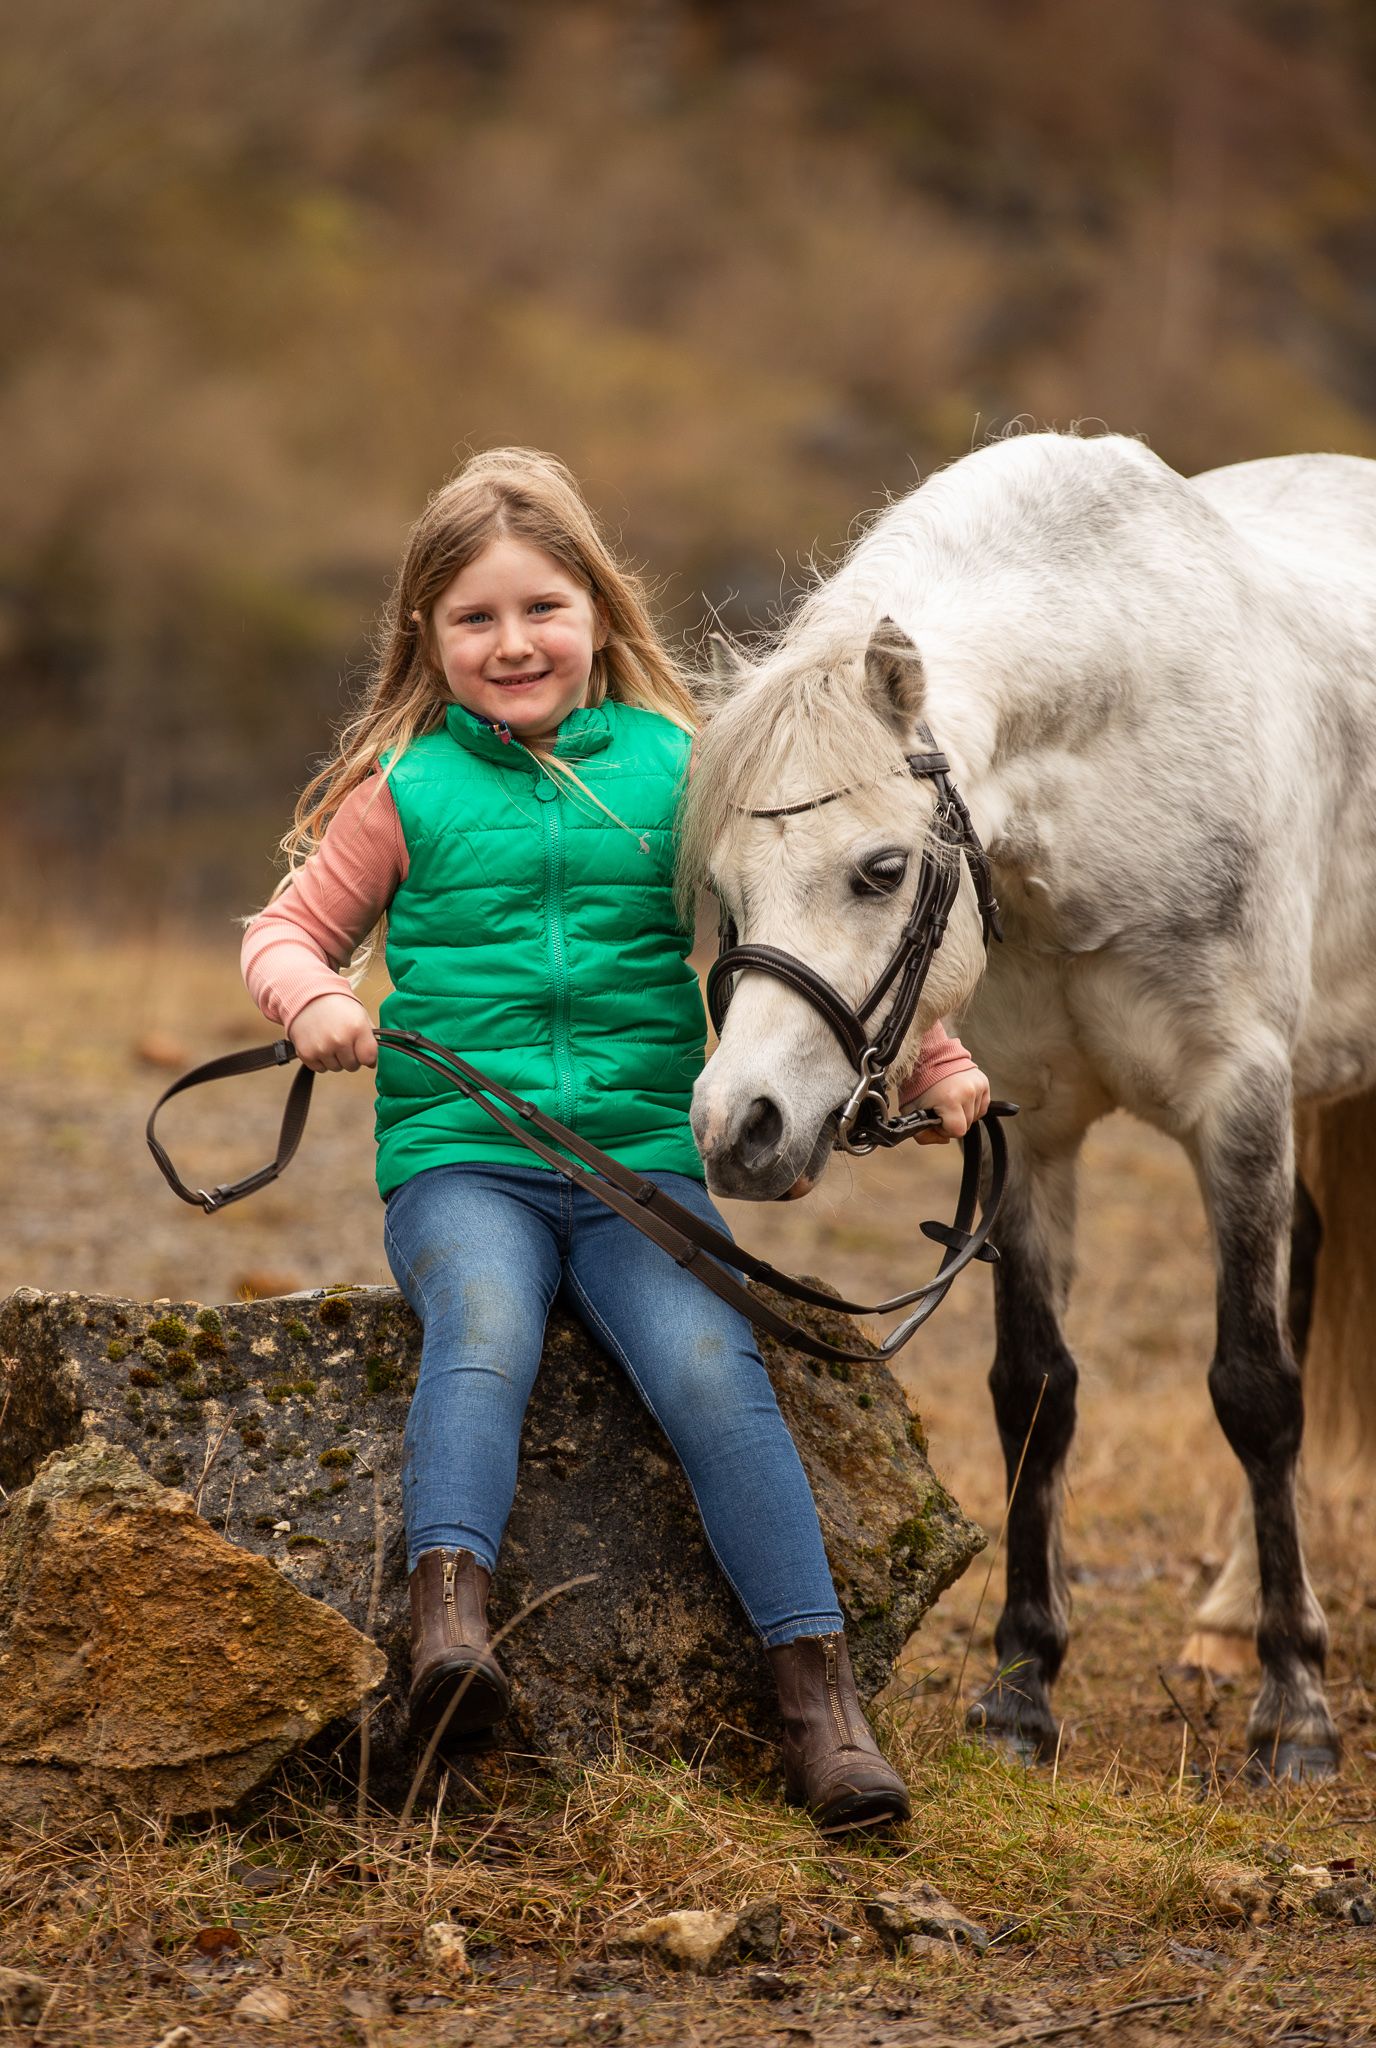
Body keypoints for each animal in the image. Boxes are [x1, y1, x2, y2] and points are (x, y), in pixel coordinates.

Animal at [681, 429, 1376, 1781]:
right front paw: (1019, 1688)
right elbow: (1034, 1391)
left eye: (879, 869)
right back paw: (1222, 1614)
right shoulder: (1031, 1128)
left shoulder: (1238, 1102)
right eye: (722, 888)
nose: (740, 1127)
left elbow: (1253, 1386)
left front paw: (1295, 1713)